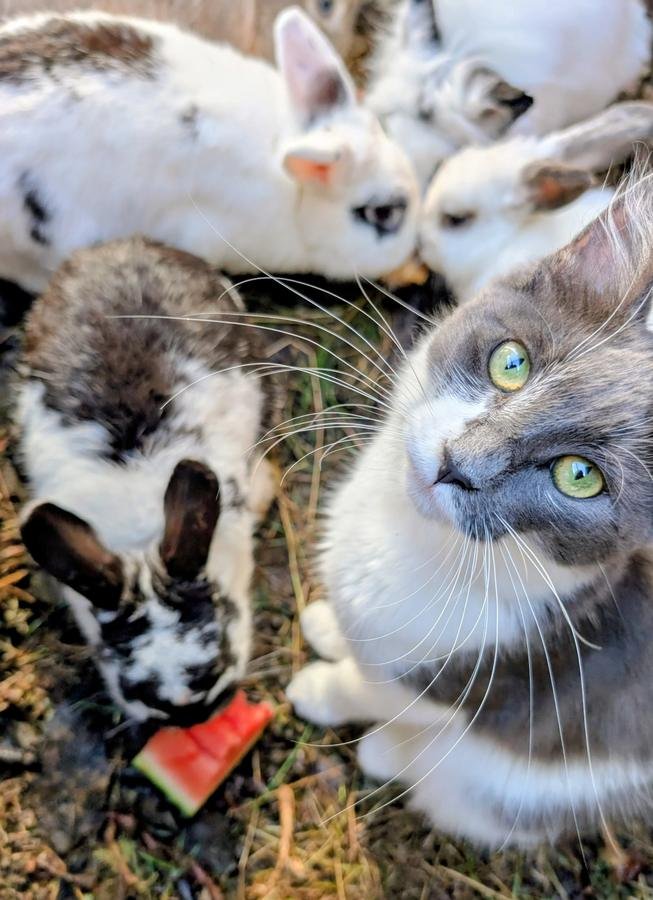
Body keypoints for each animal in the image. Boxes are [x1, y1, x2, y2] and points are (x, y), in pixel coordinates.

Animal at [287, 171, 653, 847]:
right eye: (511, 363)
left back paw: (385, 753)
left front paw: (321, 689)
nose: (460, 464)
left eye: (580, 476)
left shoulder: (481, 677)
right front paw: (330, 626)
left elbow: (370, 688)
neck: (412, 539)